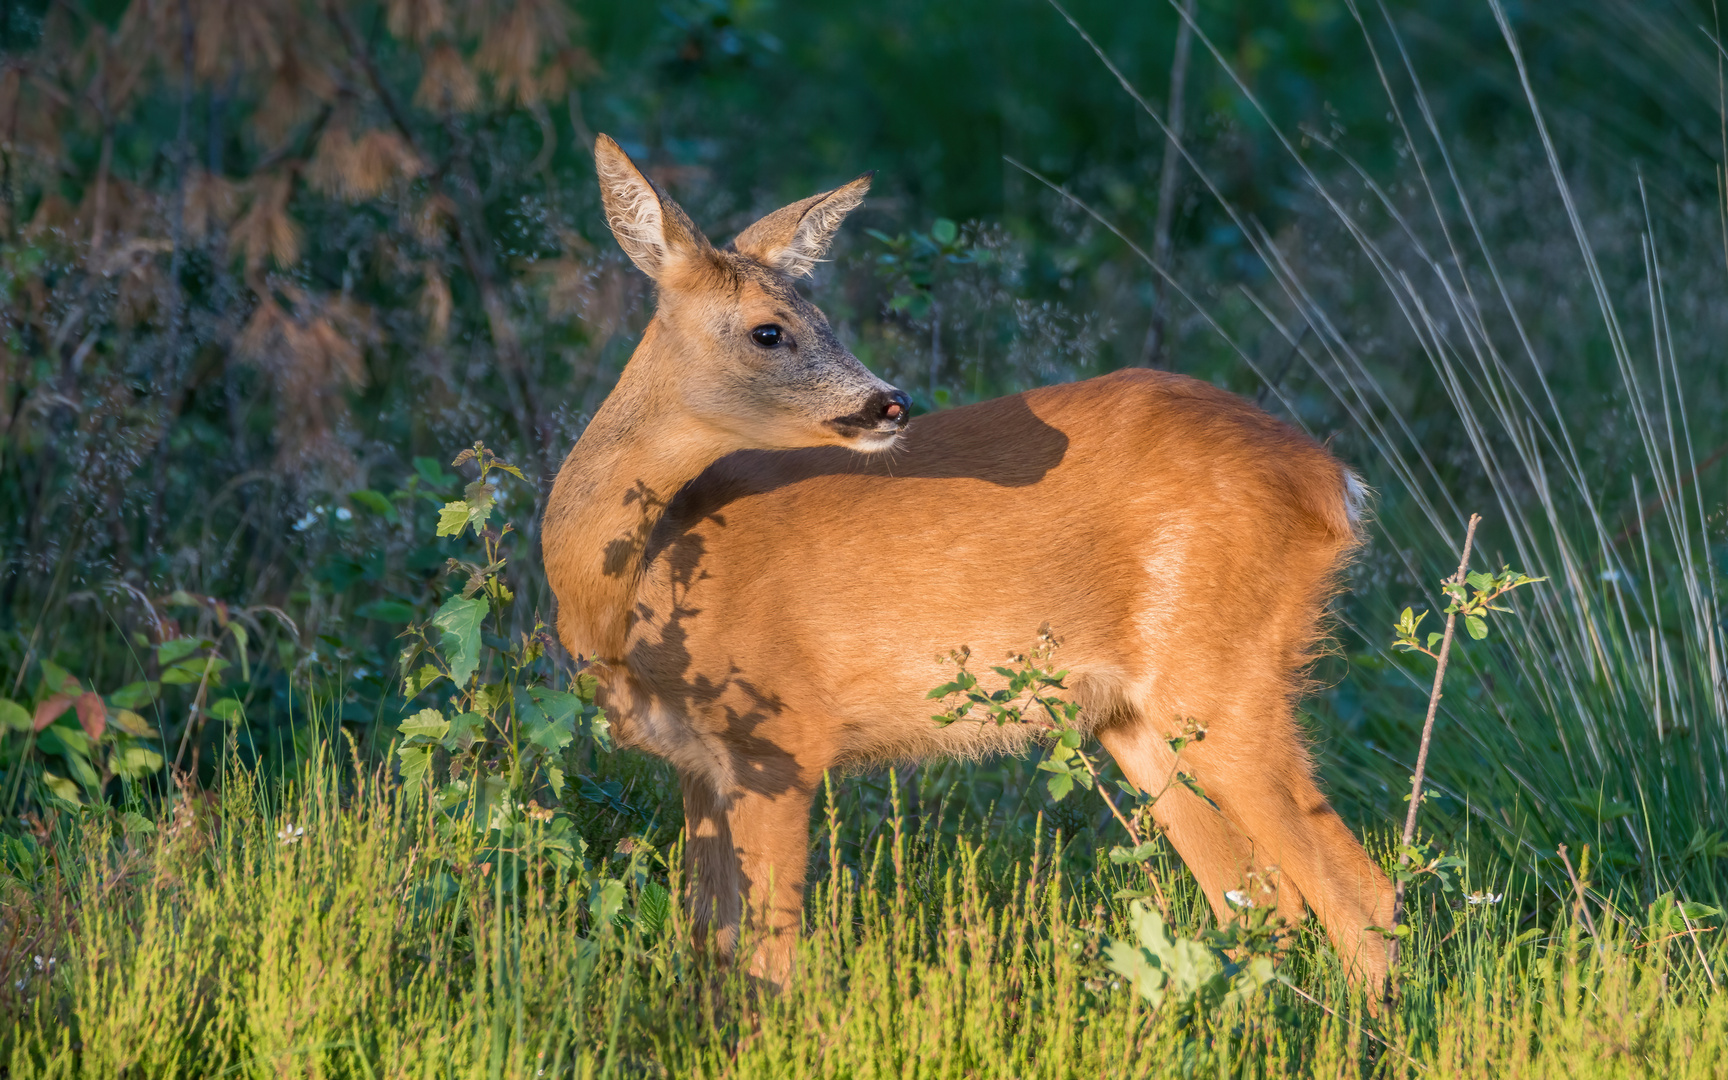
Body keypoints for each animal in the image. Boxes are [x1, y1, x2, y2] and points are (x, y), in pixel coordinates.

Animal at [546, 139, 1396, 988]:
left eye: (822, 317)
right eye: (768, 331)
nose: (890, 402)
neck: (634, 592)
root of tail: (1331, 482)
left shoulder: (780, 739)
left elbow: (769, 958)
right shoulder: (696, 764)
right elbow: (710, 946)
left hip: (1224, 675)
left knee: (1357, 890)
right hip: (1135, 718)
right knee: (1256, 902)